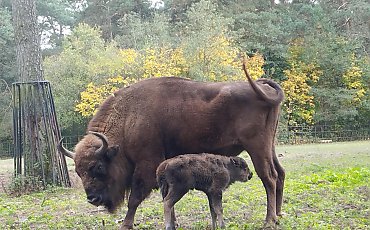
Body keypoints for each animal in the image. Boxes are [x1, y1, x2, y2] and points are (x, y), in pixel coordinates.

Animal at [57, 60, 284, 228]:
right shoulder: (165, 166)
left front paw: (126, 224)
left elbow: (135, 197)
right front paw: (173, 222)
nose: (92, 199)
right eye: (78, 171)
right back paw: (279, 214)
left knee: (269, 177)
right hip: (270, 146)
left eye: (99, 166)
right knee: (280, 173)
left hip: (257, 147)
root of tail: (263, 88)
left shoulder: (148, 164)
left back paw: (269, 220)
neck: (129, 118)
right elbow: (167, 198)